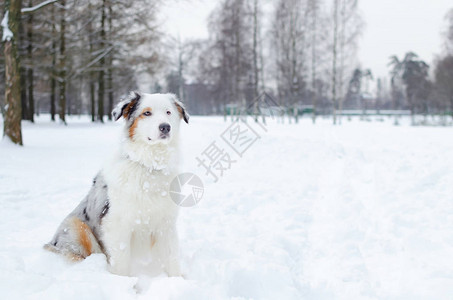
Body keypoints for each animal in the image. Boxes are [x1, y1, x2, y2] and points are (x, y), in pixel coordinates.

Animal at [43, 91, 187, 276]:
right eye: (147, 113)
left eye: (168, 112)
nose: (165, 127)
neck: (148, 166)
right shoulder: (117, 223)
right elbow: (121, 262)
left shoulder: (166, 221)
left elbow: (171, 257)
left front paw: (177, 280)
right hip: (76, 226)